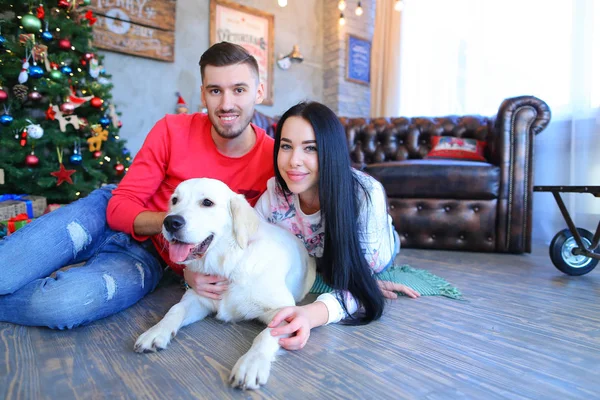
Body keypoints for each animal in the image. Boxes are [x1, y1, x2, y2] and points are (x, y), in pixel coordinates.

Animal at [134, 179, 316, 390]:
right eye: (174, 200)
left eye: (207, 202)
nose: (171, 222)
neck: (230, 264)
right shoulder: (198, 297)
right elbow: (175, 309)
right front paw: (155, 331)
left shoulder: (284, 311)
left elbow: (266, 334)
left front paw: (251, 364)